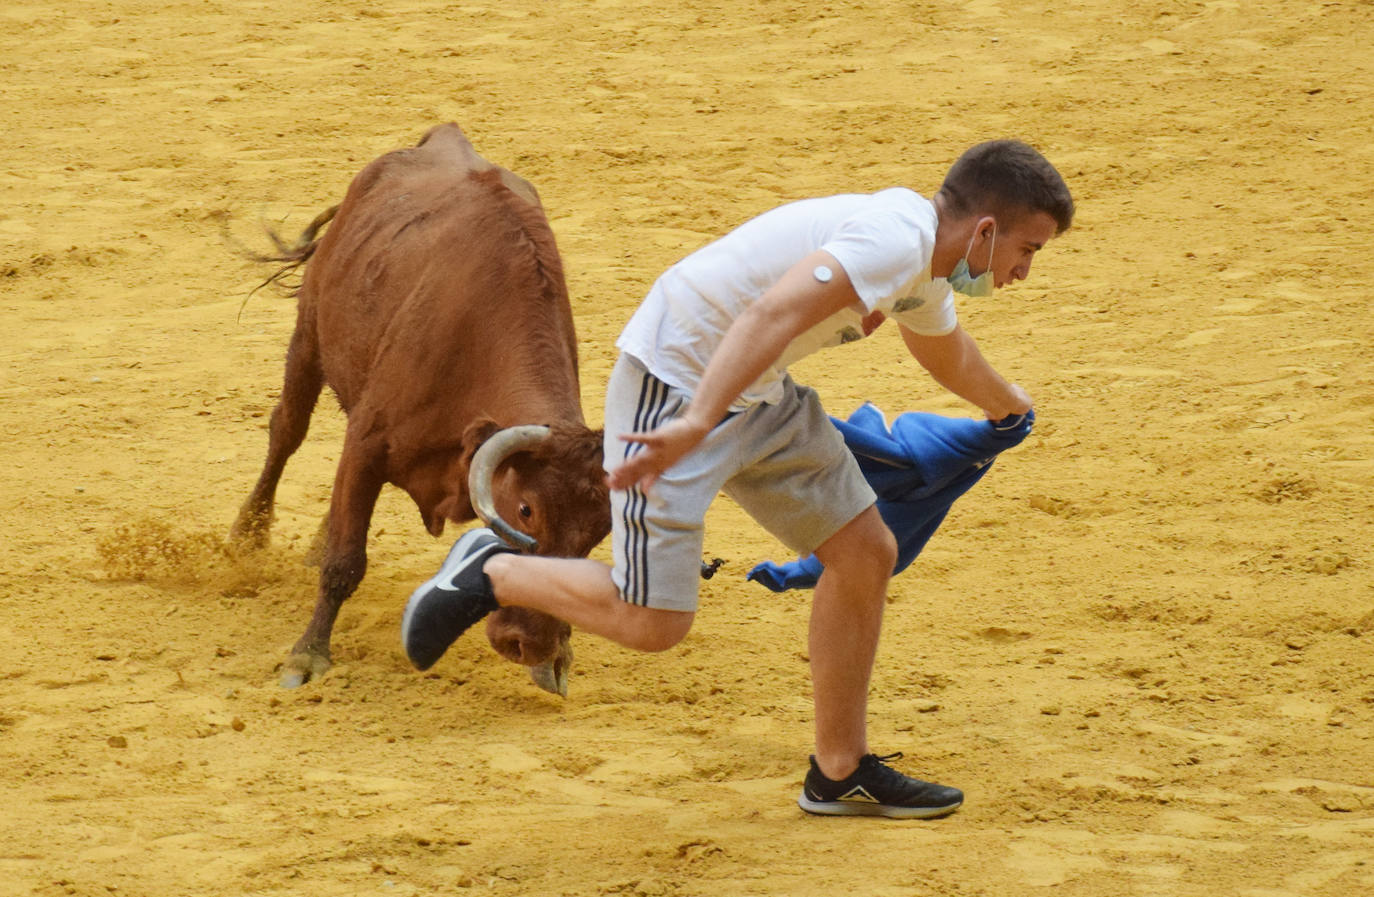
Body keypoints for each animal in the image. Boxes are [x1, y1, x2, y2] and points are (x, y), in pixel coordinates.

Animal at [233, 122, 610, 689]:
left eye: (600, 531)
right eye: (526, 509)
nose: (530, 645)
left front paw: (556, 659)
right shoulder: (367, 443)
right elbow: (346, 561)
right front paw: (307, 655)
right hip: (309, 336)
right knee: (286, 432)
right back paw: (248, 533)